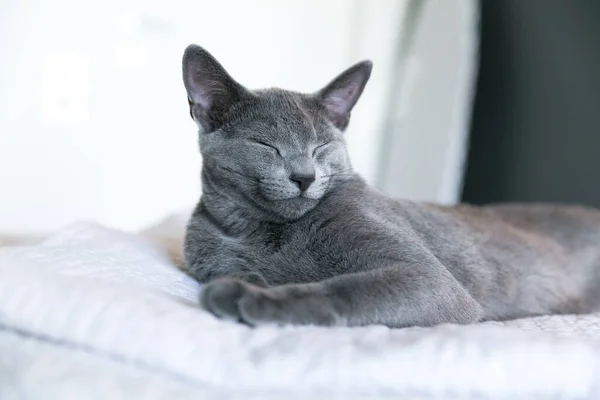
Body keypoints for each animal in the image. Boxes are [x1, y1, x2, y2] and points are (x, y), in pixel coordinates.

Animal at [180, 43, 600, 328]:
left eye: (321, 147)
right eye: (265, 145)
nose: (304, 176)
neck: (265, 232)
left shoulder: (429, 280)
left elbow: (344, 289)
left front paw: (254, 299)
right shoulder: (210, 255)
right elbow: (233, 268)